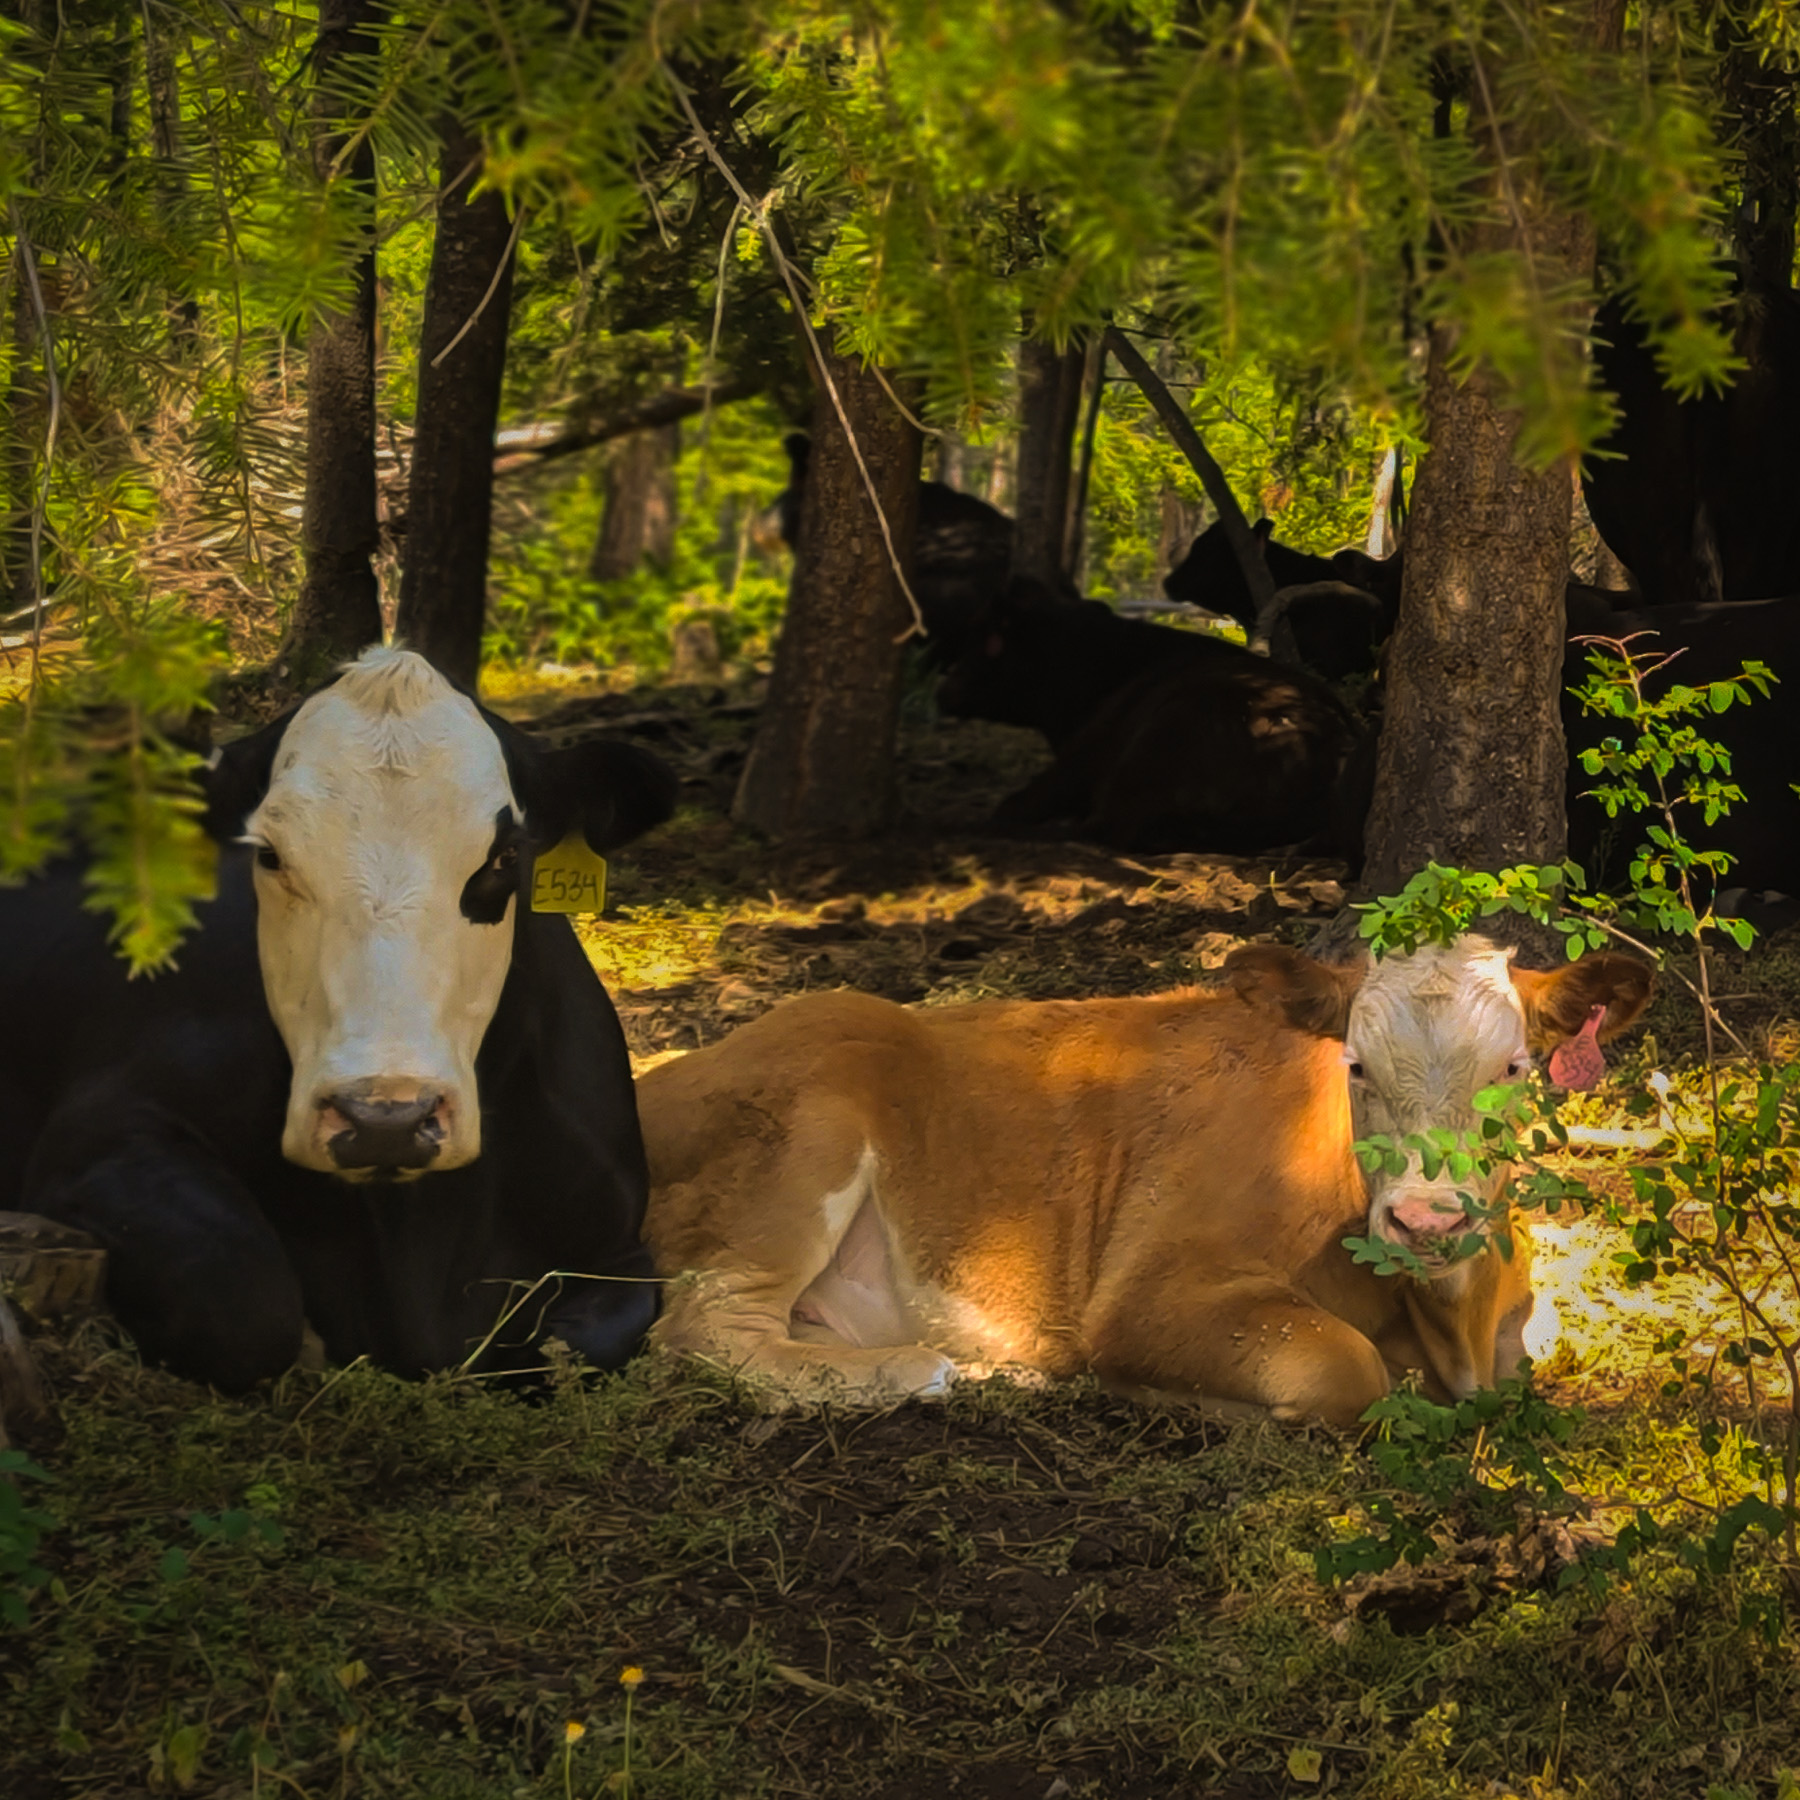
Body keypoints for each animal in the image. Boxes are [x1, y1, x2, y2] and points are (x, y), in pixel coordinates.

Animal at [0, 646, 677, 1393]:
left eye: (504, 858)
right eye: (269, 854)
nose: (388, 1119)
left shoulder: (619, 1246)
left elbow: (574, 1349)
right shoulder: (102, 1132)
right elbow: (244, 1300)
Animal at [638, 939, 1652, 1424]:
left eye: (1515, 1068)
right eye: (1355, 1066)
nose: (1425, 1221)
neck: (1450, 1328)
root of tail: (665, 1074)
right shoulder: (1146, 1293)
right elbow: (1342, 1367)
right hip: (806, 1136)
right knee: (702, 1327)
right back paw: (933, 1372)